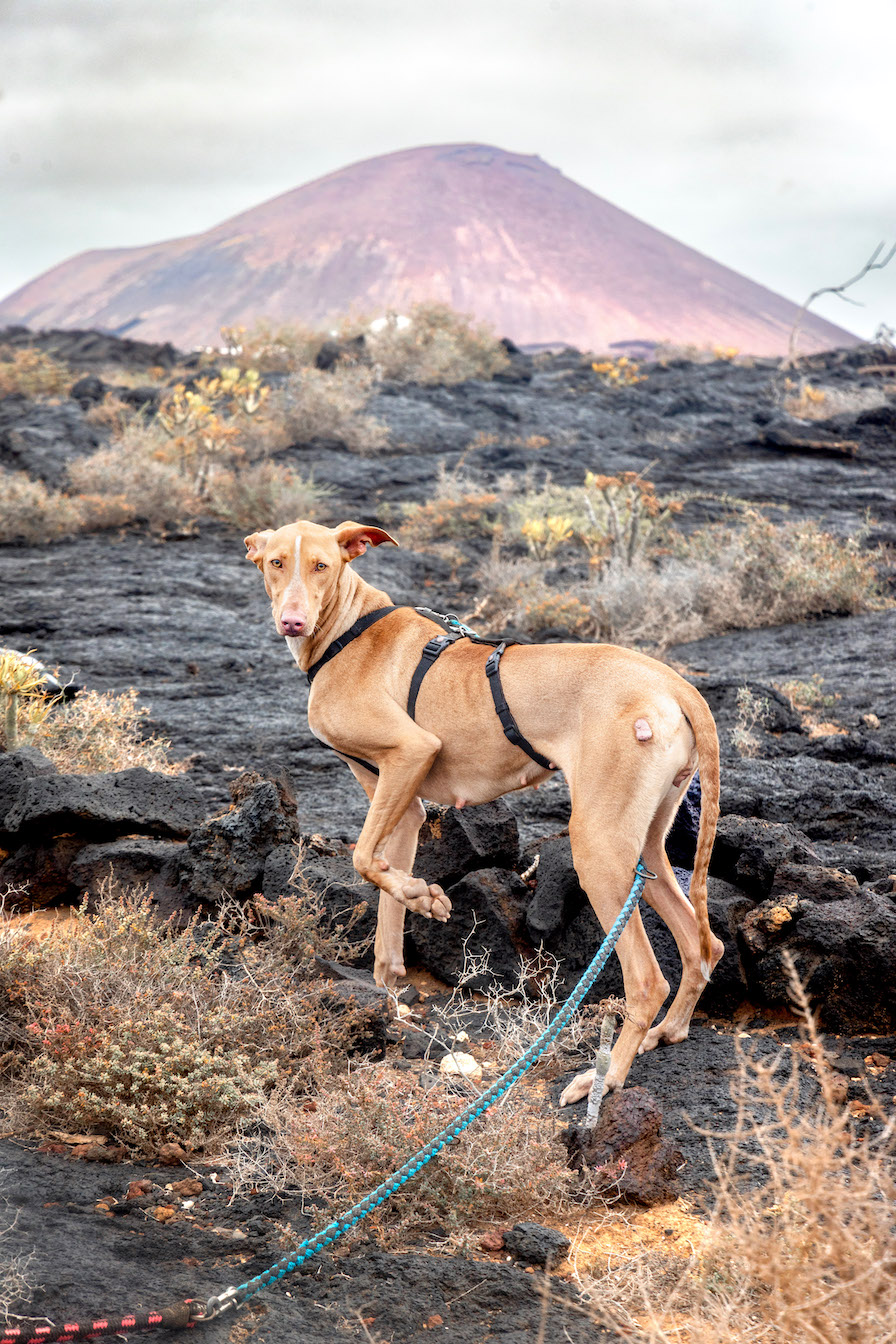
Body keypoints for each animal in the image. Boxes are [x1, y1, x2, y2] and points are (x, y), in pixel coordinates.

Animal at [248, 518, 725, 1096]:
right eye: (276, 562)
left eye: (322, 565)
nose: (292, 620)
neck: (348, 630)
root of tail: (673, 681)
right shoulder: (399, 798)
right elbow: (383, 901)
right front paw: (391, 983)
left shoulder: (412, 751)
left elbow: (362, 858)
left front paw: (428, 900)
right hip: (647, 847)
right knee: (704, 946)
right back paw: (668, 1032)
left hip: (598, 848)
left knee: (649, 979)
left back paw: (605, 1078)